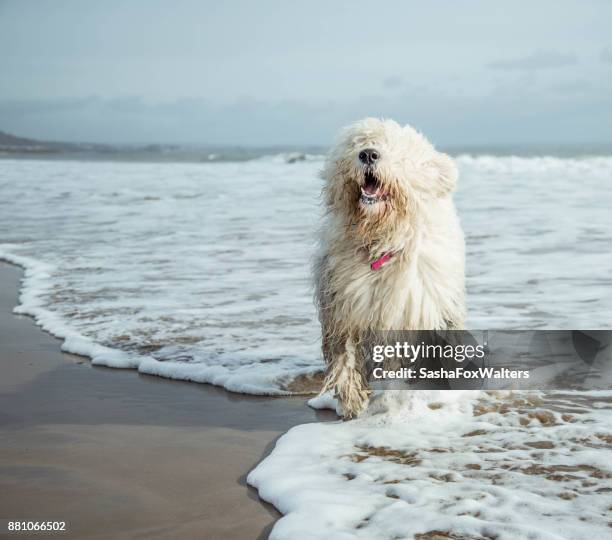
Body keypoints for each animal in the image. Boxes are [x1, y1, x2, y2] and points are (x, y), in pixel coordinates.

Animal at [316, 118, 464, 418]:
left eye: (399, 151)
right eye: (359, 142)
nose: (369, 154)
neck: (382, 241)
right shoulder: (343, 307)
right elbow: (344, 354)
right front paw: (351, 400)